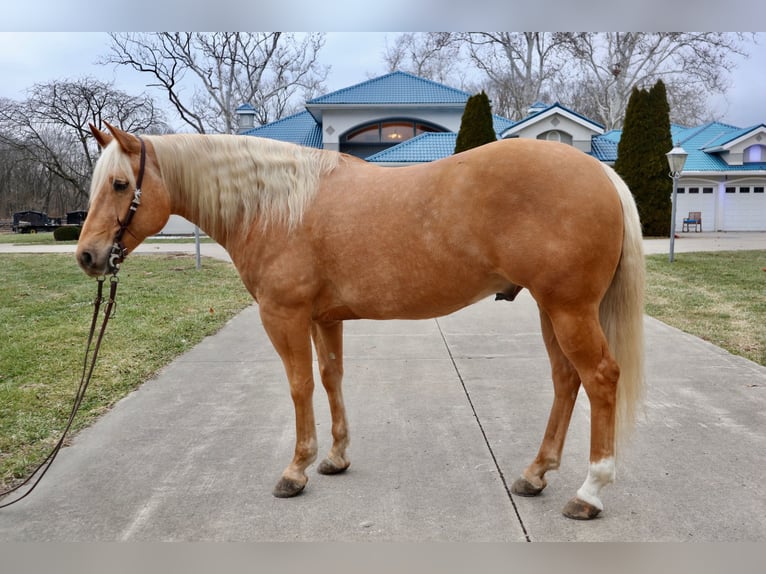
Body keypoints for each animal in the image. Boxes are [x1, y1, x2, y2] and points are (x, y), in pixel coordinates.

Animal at [77, 122, 644, 520]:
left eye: (120, 184)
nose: (87, 256)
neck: (276, 206)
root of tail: (601, 172)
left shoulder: (283, 315)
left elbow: (300, 385)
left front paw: (296, 470)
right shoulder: (324, 318)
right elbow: (331, 378)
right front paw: (335, 457)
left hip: (569, 309)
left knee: (600, 378)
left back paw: (590, 491)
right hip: (552, 310)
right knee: (566, 380)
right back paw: (535, 474)